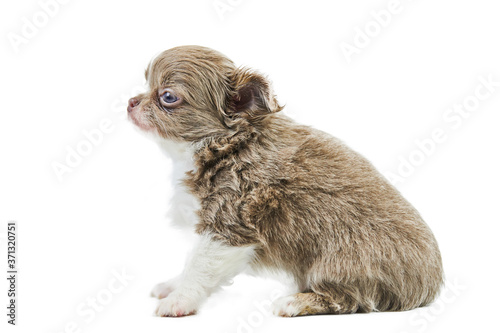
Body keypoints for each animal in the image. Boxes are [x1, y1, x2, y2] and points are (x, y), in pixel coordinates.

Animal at [127, 45, 444, 316]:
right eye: (145, 85)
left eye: (167, 97)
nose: (131, 102)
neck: (227, 142)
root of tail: (430, 286)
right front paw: (174, 285)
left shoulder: (227, 226)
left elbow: (199, 267)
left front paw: (180, 299)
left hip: (338, 263)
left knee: (345, 299)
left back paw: (296, 302)